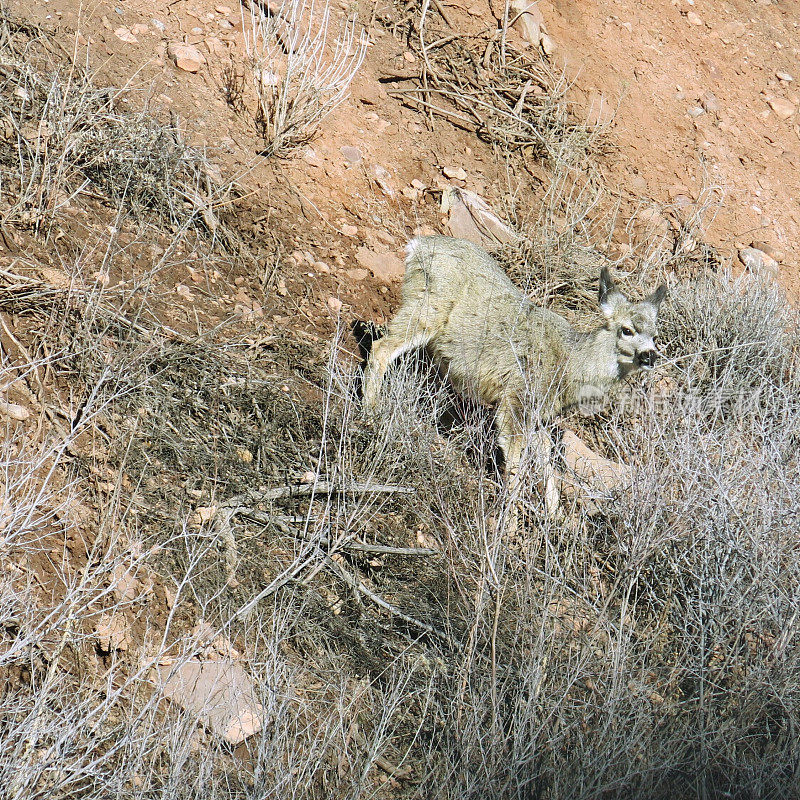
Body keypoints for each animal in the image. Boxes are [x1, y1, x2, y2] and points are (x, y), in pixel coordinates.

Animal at [362, 234, 668, 516]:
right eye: (627, 330)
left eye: (655, 336)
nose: (650, 356)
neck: (568, 365)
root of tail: (417, 245)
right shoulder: (517, 398)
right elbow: (516, 461)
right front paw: (508, 524)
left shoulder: (541, 414)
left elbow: (546, 458)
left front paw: (554, 519)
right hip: (425, 310)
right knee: (380, 349)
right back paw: (370, 418)